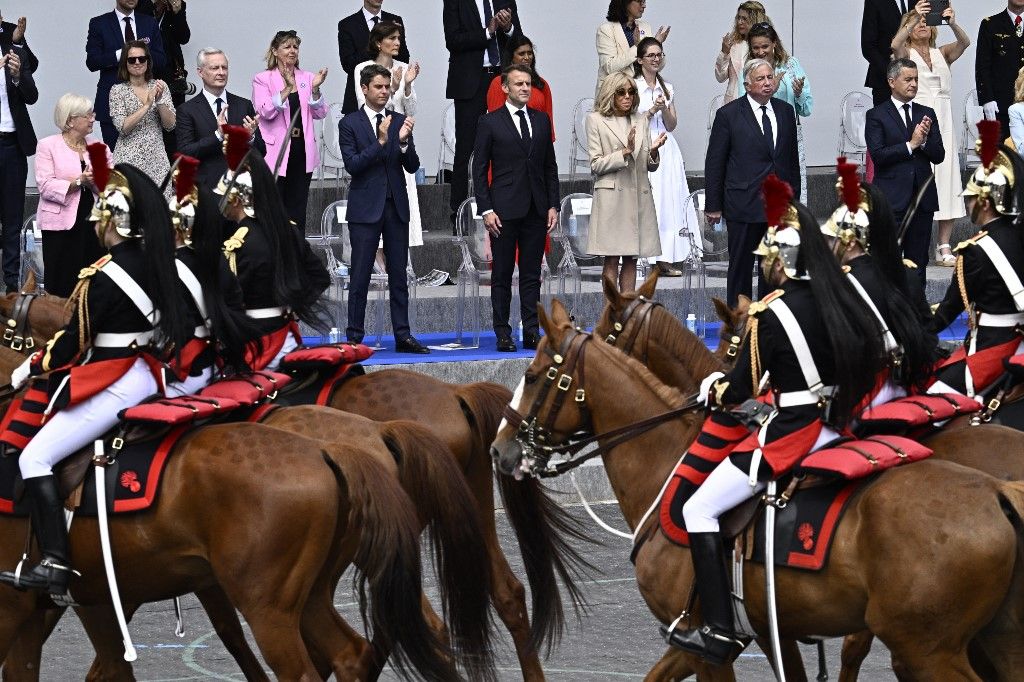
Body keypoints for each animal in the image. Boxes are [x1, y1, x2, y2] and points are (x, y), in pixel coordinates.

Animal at [0, 421, 456, 675]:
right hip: (310, 595)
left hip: (269, 607)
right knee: (353, 653)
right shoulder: (84, 602)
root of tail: (324, 449)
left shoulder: (18, 607)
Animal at [491, 301, 1024, 679]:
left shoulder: (702, 644)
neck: (668, 460)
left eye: (533, 376)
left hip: (926, 651)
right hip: (989, 642)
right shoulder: (769, 632)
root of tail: (997, 492)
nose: (500, 450)